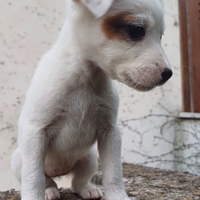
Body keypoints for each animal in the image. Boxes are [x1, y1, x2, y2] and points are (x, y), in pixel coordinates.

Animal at [10, 0, 172, 200]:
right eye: (136, 30)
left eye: (160, 35)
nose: (168, 74)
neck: (85, 79)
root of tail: (59, 171)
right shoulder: (36, 132)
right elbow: (33, 177)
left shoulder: (110, 132)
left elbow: (113, 172)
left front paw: (117, 195)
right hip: (19, 160)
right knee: (46, 179)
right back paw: (49, 190)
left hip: (90, 158)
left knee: (77, 181)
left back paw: (87, 189)